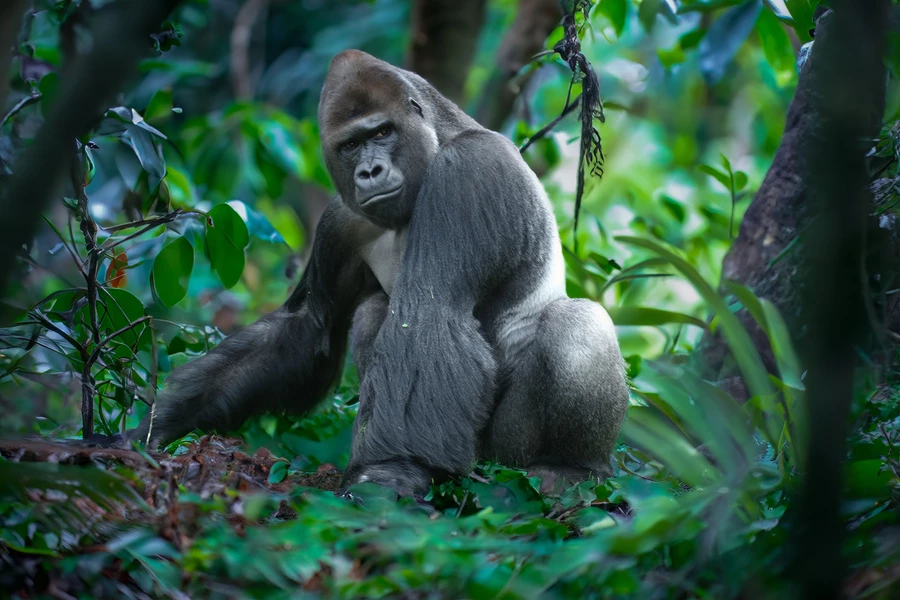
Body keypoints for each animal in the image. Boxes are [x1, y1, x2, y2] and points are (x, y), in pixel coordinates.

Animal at [130, 50, 629, 496]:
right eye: (351, 145)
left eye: (383, 131)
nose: (370, 171)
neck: (440, 134)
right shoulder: (340, 221)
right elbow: (310, 328)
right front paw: (165, 422)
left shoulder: (470, 169)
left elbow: (429, 314)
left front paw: (389, 471)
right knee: (374, 311)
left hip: (503, 456)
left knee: (577, 324)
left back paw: (571, 467)